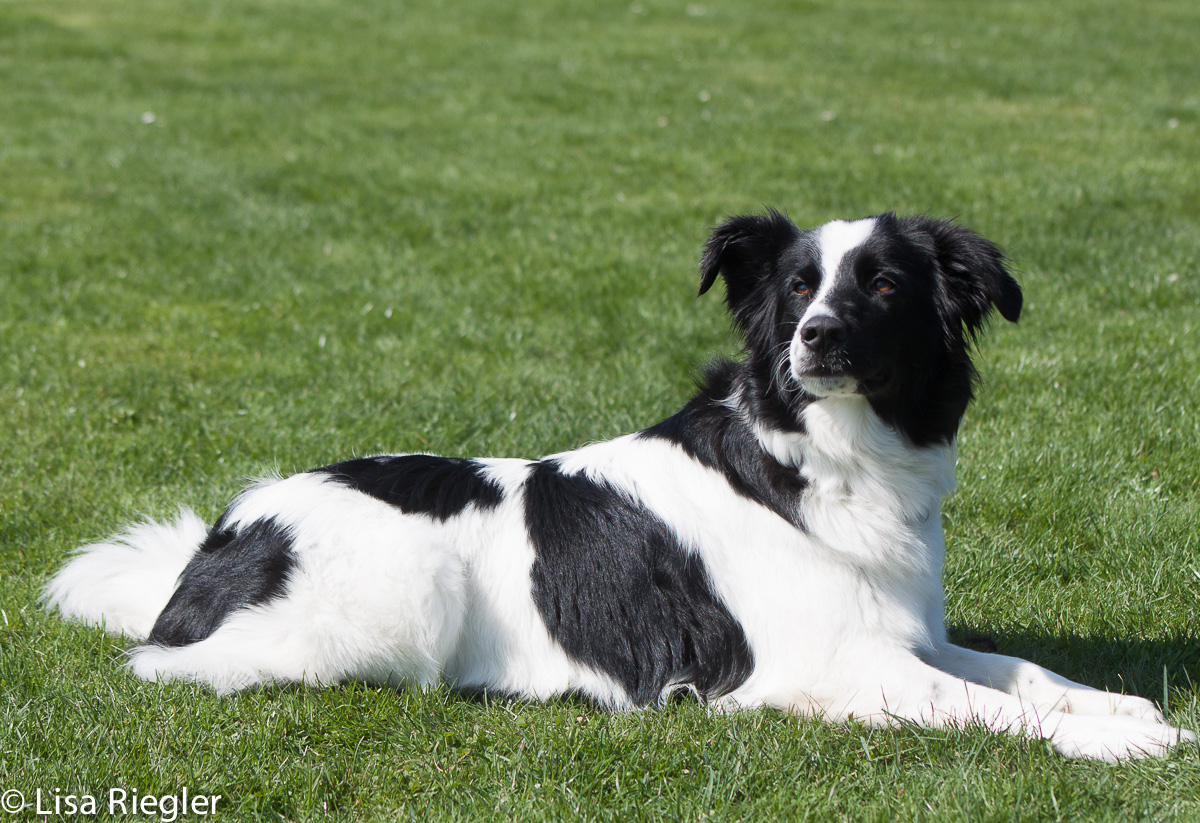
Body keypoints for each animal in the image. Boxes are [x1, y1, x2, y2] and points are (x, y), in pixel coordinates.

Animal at [42, 211, 1195, 763]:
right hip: (397, 600)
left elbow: (1023, 672)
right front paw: (1117, 739)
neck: (810, 461)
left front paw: (1119, 705)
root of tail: (227, 535)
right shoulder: (831, 665)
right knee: (176, 664)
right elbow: (983, 705)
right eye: (796, 291)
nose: (817, 338)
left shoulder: (906, 632)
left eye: (882, 284)